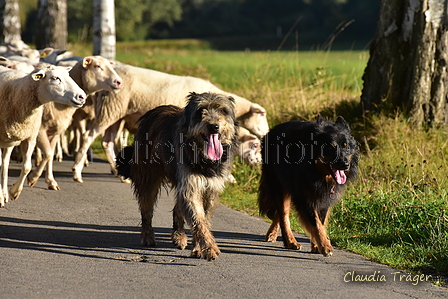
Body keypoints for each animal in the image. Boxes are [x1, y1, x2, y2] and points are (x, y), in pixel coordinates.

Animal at [0, 66, 86, 207]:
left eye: (68, 75)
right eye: (55, 78)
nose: (82, 96)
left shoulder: (30, 137)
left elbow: (27, 167)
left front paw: (14, 192)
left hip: (10, 139)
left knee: (5, 164)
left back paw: (4, 194)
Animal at [27, 56, 122, 190]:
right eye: (97, 66)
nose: (119, 82)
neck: (57, 104)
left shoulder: (56, 130)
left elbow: (49, 155)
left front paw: (51, 181)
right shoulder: (41, 130)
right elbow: (49, 153)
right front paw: (33, 177)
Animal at [71, 61, 268, 183]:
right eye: (255, 146)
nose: (260, 163)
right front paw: (229, 178)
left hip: (116, 114)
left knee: (106, 142)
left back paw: (121, 174)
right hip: (109, 109)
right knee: (89, 136)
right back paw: (77, 172)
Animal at [117, 92, 240, 262]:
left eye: (223, 110)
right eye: (201, 111)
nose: (214, 126)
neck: (203, 157)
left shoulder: (209, 190)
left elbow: (203, 219)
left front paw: (198, 248)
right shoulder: (190, 186)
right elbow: (198, 221)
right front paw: (209, 248)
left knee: (177, 208)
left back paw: (179, 236)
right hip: (148, 178)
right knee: (146, 210)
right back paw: (148, 236)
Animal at [258, 115, 358, 258]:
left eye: (346, 147)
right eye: (331, 147)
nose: (346, 165)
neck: (316, 172)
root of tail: (270, 132)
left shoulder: (324, 199)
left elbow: (320, 222)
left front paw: (317, 245)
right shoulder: (304, 198)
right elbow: (315, 223)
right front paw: (325, 246)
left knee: (280, 212)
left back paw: (273, 233)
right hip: (279, 184)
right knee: (283, 214)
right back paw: (290, 241)